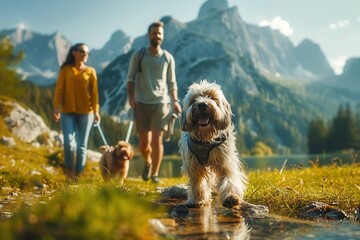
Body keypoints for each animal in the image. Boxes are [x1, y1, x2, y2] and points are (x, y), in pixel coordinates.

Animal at [179, 80, 248, 208]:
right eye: (194, 100)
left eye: (211, 97)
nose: (202, 105)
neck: (206, 138)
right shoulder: (193, 164)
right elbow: (197, 182)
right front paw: (197, 199)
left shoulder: (225, 161)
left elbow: (229, 179)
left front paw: (231, 197)